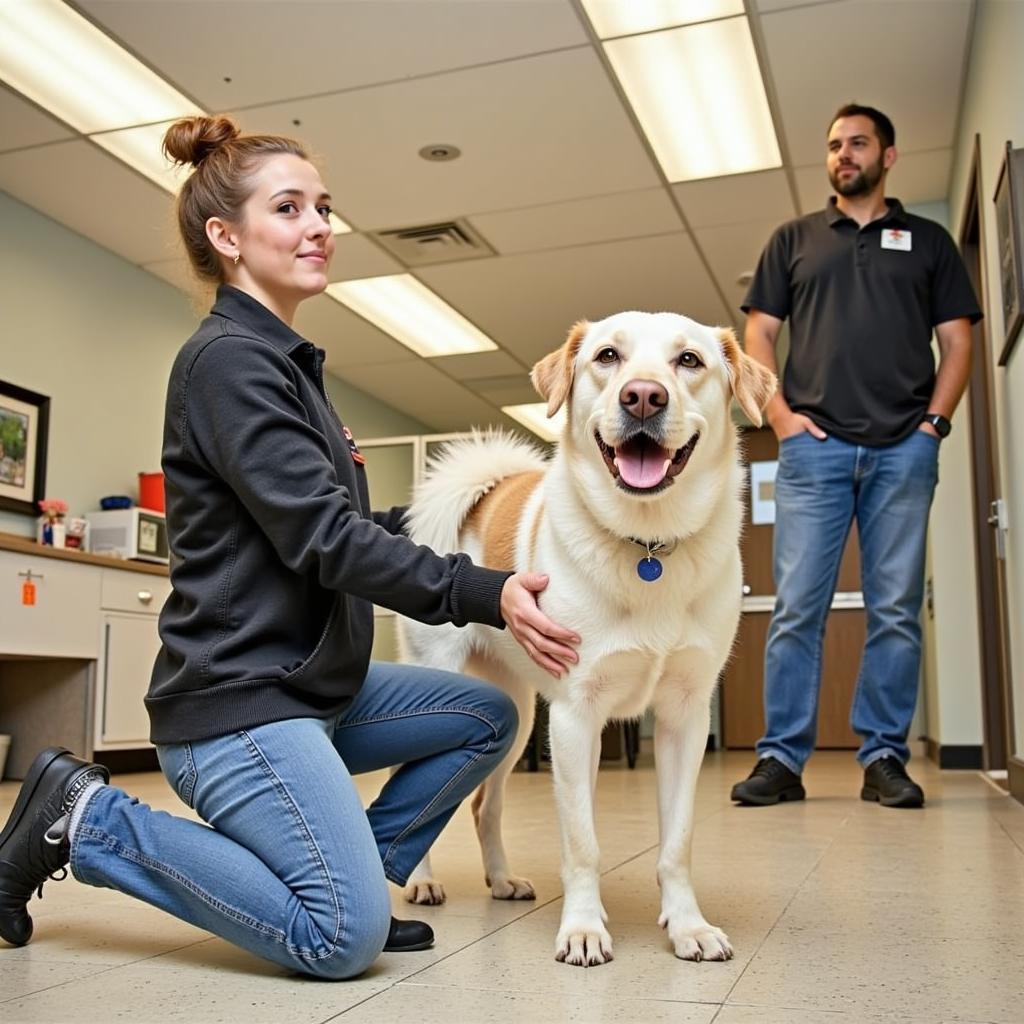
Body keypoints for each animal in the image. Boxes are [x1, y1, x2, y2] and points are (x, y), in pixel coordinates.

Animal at [395, 307, 770, 962]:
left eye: (688, 360)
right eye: (607, 357)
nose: (642, 396)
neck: (649, 546)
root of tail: (481, 494)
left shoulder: (684, 719)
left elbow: (677, 842)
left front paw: (688, 926)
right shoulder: (575, 718)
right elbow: (583, 842)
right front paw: (584, 930)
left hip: (516, 718)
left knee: (485, 807)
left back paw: (502, 880)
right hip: (447, 698)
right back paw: (421, 882)